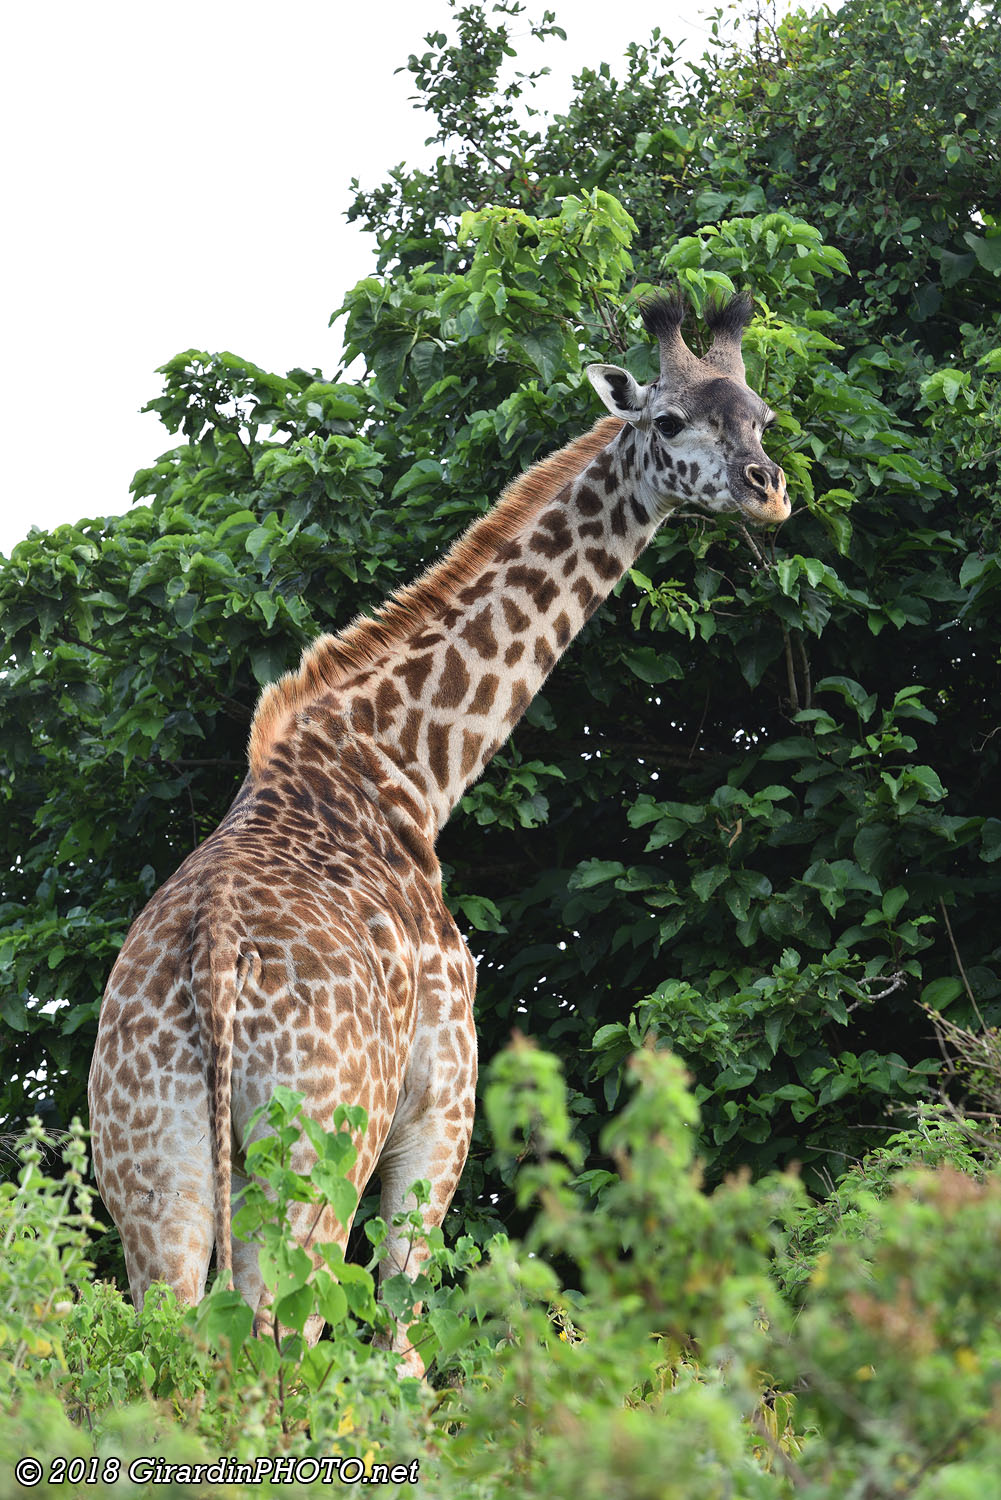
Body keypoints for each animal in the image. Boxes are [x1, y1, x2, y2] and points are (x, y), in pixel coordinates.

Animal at [88, 291, 788, 1376]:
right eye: (669, 421)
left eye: (758, 416)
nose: (768, 490)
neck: (409, 774)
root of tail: (210, 967)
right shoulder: (446, 1093)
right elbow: (406, 1334)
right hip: (316, 1150)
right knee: (280, 1338)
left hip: (149, 1168)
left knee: (177, 1345)